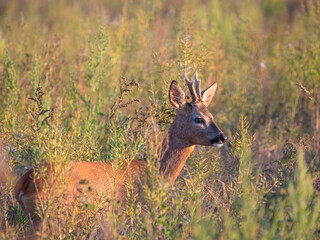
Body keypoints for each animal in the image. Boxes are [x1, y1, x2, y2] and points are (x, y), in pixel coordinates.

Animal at [13, 72, 226, 237]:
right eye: (198, 118)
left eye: (212, 116)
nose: (221, 137)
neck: (151, 172)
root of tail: (24, 183)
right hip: (52, 217)